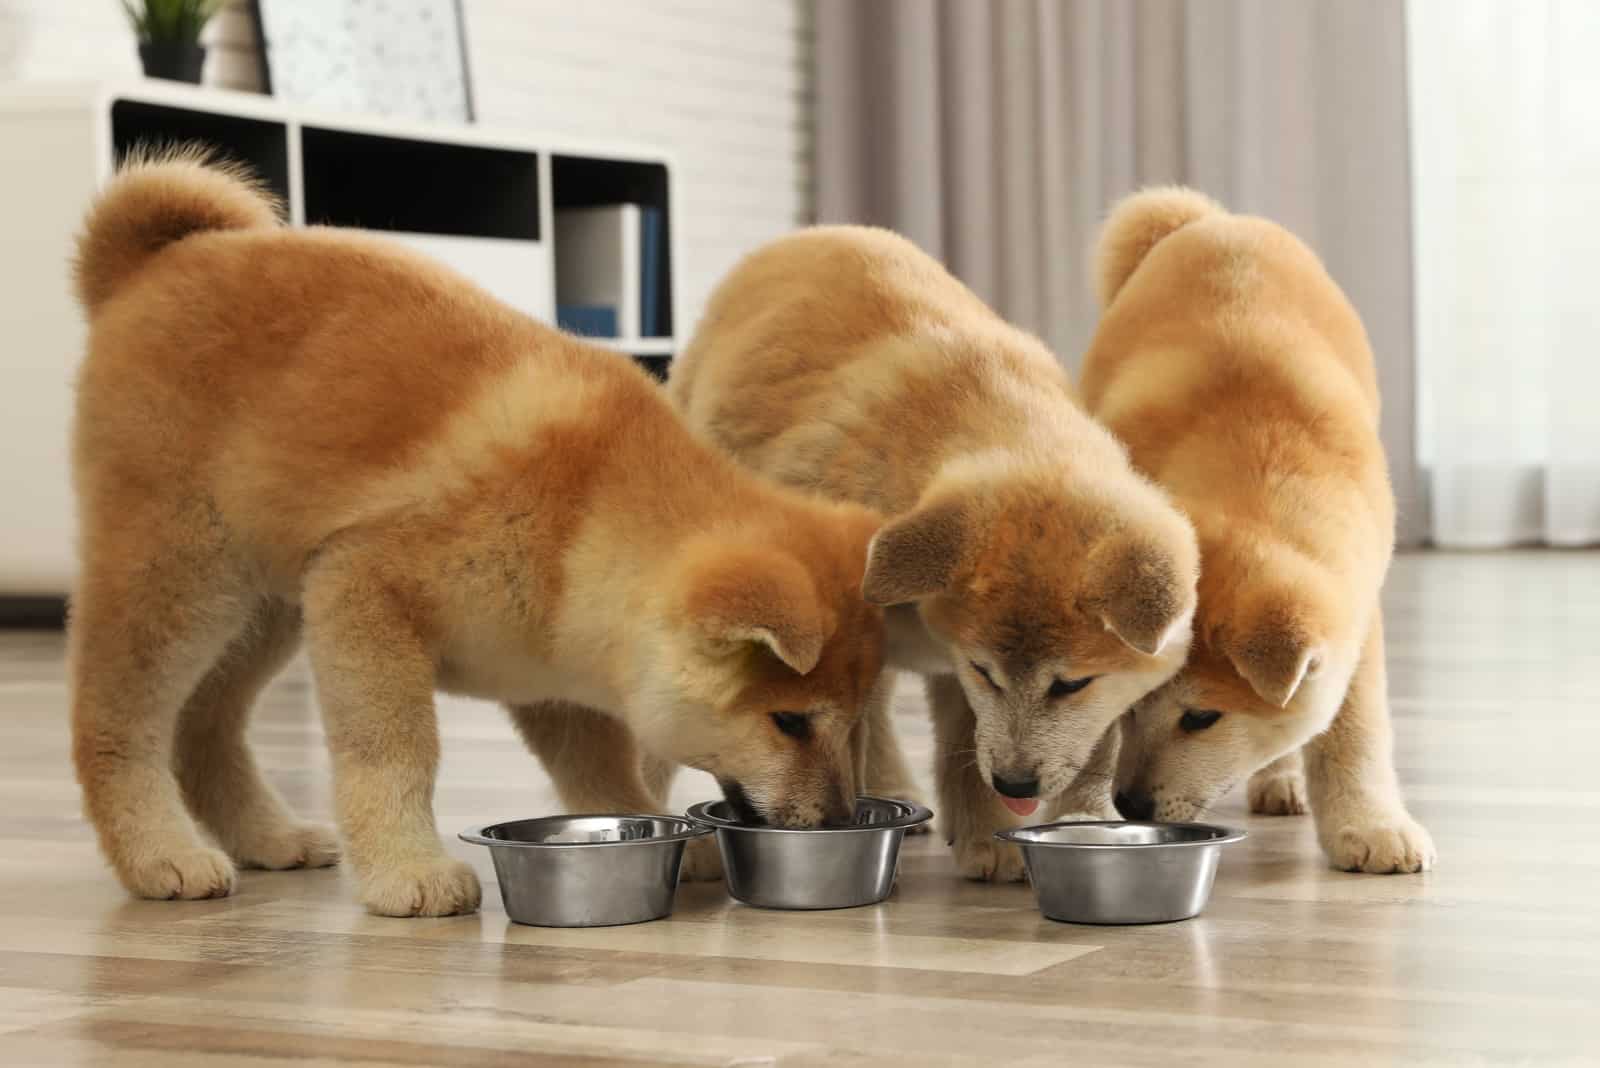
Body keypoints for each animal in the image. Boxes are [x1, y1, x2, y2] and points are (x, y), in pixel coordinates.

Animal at [65, 151, 889, 920]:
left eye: (854, 723)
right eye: (790, 722)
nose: (838, 821)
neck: (585, 519)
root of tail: (152, 264)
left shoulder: (550, 679)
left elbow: (601, 775)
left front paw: (658, 833)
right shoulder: (364, 594)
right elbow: (393, 754)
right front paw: (406, 870)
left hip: (268, 603)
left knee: (203, 727)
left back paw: (270, 837)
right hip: (184, 576)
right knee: (117, 724)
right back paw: (158, 853)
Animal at [665, 227, 1203, 882]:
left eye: (1072, 684)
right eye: (985, 670)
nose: (1016, 783)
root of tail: (806, 236)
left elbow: (975, 740)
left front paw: (996, 838)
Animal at [1088, 189, 1440, 876]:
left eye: (1202, 717)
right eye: (1135, 704)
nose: (1131, 804)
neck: (1253, 481)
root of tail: (1211, 222)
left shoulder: (1355, 615)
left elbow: (1353, 732)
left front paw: (1370, 825)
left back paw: (1281, 780)